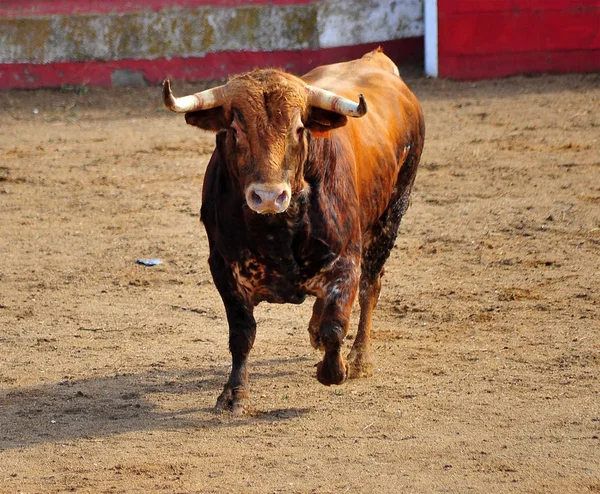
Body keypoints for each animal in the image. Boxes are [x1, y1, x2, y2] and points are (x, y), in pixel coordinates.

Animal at [162, 48, 424, 414]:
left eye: (299, 128)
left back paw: (359, 359)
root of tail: (377, 61)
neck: (277, 232)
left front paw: (335, 370)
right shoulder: (224, 268)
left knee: (371, 287)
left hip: (393, 212)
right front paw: (234, 394)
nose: (269, 196)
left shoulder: (346, 262)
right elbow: (241, 333)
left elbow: (335, 325)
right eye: (234, 129)